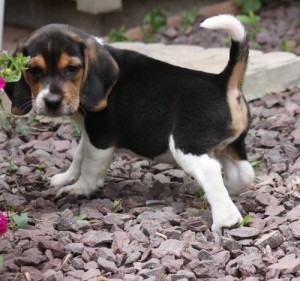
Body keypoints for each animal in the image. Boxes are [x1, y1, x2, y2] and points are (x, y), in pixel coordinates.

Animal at [4, 14, 255, 232]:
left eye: (72, 69)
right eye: (34, 70)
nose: (51, 102)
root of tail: (221, 82)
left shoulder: (100, 139)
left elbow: (90, 168)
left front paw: (79, 189)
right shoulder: (89, 134)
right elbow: (78, 155)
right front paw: (65, 178)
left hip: (187, 145)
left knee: (211, 170)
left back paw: (225, 220)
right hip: (230, 145)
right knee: (244, 173)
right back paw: (228, 191)